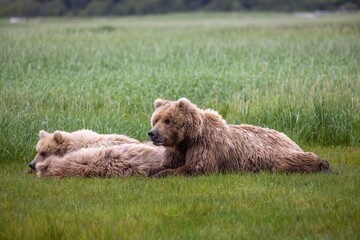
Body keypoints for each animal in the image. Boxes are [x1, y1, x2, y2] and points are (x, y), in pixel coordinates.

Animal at [147, 96, 332, 177]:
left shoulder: (206, 146)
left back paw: (324, 165)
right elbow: (167, 164)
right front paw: (152, 170)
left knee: (288, 162)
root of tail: (288, 137)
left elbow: (198, 167)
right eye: (156, 119)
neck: (188, 139)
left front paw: (161, 174)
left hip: (275, 153)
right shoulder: (177, 150)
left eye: (168, 120)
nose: (152, 133)